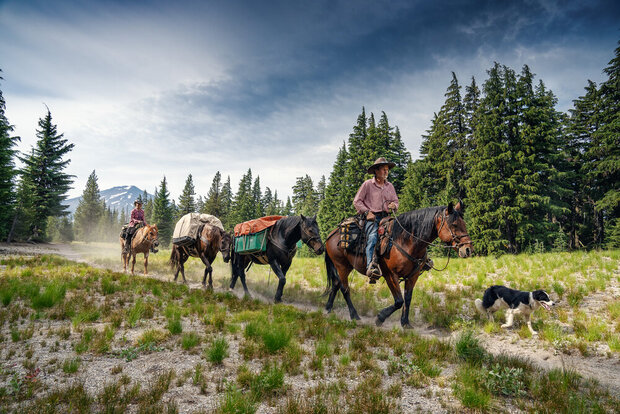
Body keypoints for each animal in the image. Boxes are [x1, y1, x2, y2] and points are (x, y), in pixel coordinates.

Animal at [322, 202, 472, 328]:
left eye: (463, 223)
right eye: (454, 224)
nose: (468, 249)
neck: (406, 241)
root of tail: (332, 234)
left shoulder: (413, 276)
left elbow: (408, 298)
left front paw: (405, 323)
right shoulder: (390, 275)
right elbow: (399, 301)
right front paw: (380, 318)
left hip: (346, 267)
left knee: (336, 283)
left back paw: (328, 308)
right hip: (341, 266)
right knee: (344, 289)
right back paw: (354, 315)